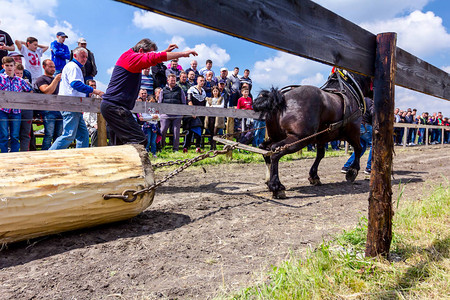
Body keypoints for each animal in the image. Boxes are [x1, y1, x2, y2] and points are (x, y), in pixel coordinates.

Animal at [253, 69, 372, 198]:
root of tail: (282, 97)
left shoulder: (320, 138)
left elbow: (320, 155)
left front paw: (314, 176)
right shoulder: (353, 132)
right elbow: (358, 149)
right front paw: (352, 171)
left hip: (277, 136)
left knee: (265, 149)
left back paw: (268, 180)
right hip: (300, 138)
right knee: (275, 152)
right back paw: (276, 186)